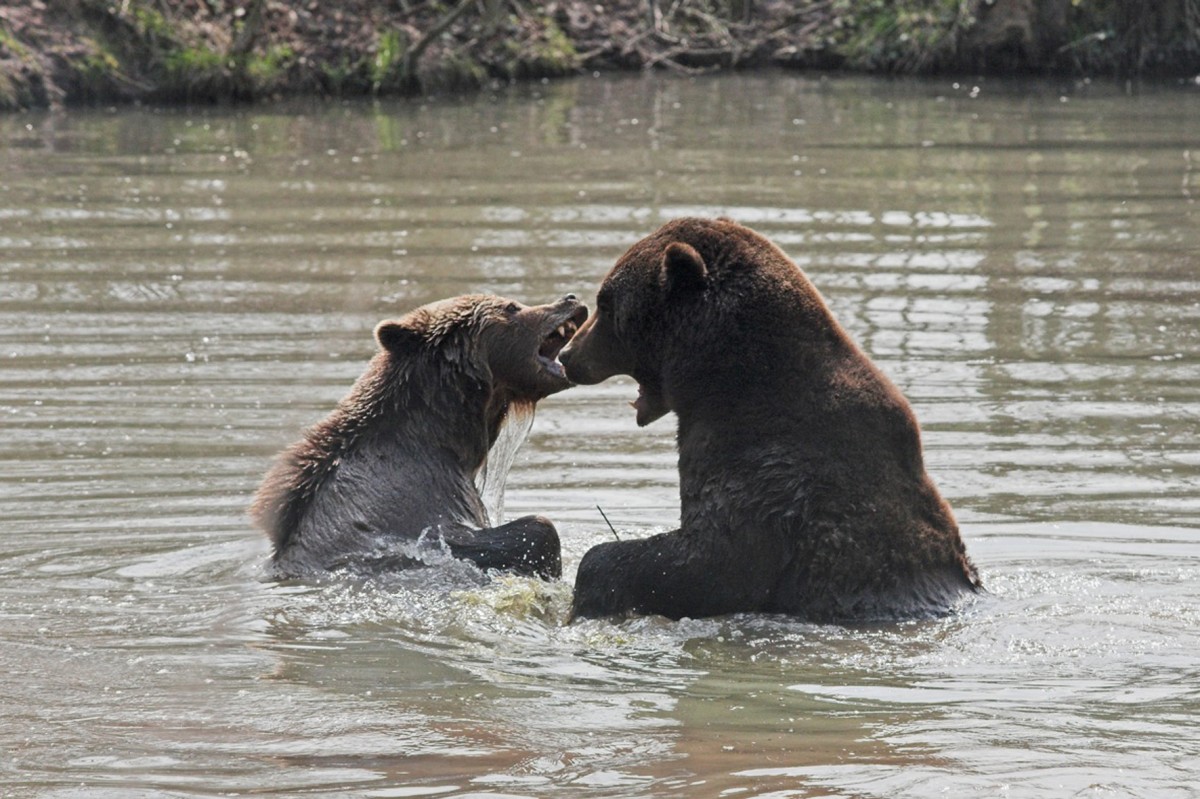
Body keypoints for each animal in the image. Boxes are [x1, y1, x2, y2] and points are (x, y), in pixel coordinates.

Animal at [556, 219, 979, 623]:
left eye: (606, 303)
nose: (568, 354)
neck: (719, 383)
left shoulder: (767, 468)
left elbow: (713, 563)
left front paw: (591, 583)